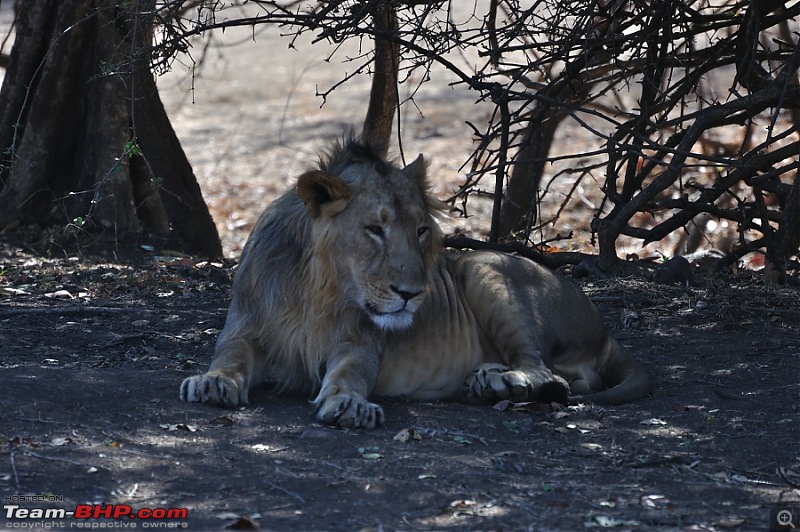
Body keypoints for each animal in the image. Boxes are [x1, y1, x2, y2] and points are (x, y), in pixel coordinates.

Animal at [180, 138, 648, 428]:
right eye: (374, 229)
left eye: (421, 230)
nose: (412, 294)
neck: (321, 290)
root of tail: (603, 327)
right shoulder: (245, 328)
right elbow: (230, 356)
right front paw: (213, 382)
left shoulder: (360, 344)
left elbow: (349, 374)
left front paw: (349, 404)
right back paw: (485, 380)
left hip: (482, 265)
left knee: (548, 375)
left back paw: (499, 381)